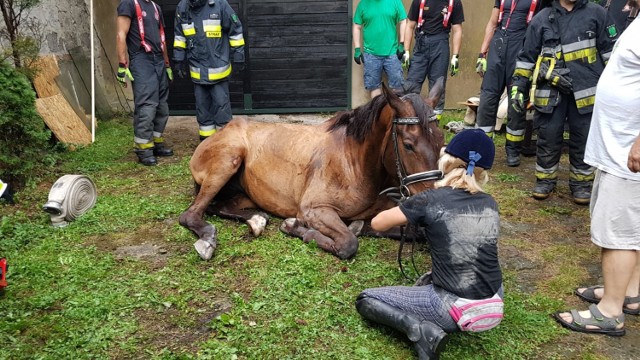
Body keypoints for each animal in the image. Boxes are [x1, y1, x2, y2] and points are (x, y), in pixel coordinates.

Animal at [178, 82, 442, 258]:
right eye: (408, 145)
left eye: (441, 140)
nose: (430, 203)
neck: (355, 161)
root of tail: (221, 130)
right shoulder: (314, 210)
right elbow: (348, 243)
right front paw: (294, 227)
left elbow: (414, 232)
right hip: (227, 161)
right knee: (191, 214)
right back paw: (208, 240)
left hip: (242, 194)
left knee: (219, 207)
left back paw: (256, 220)